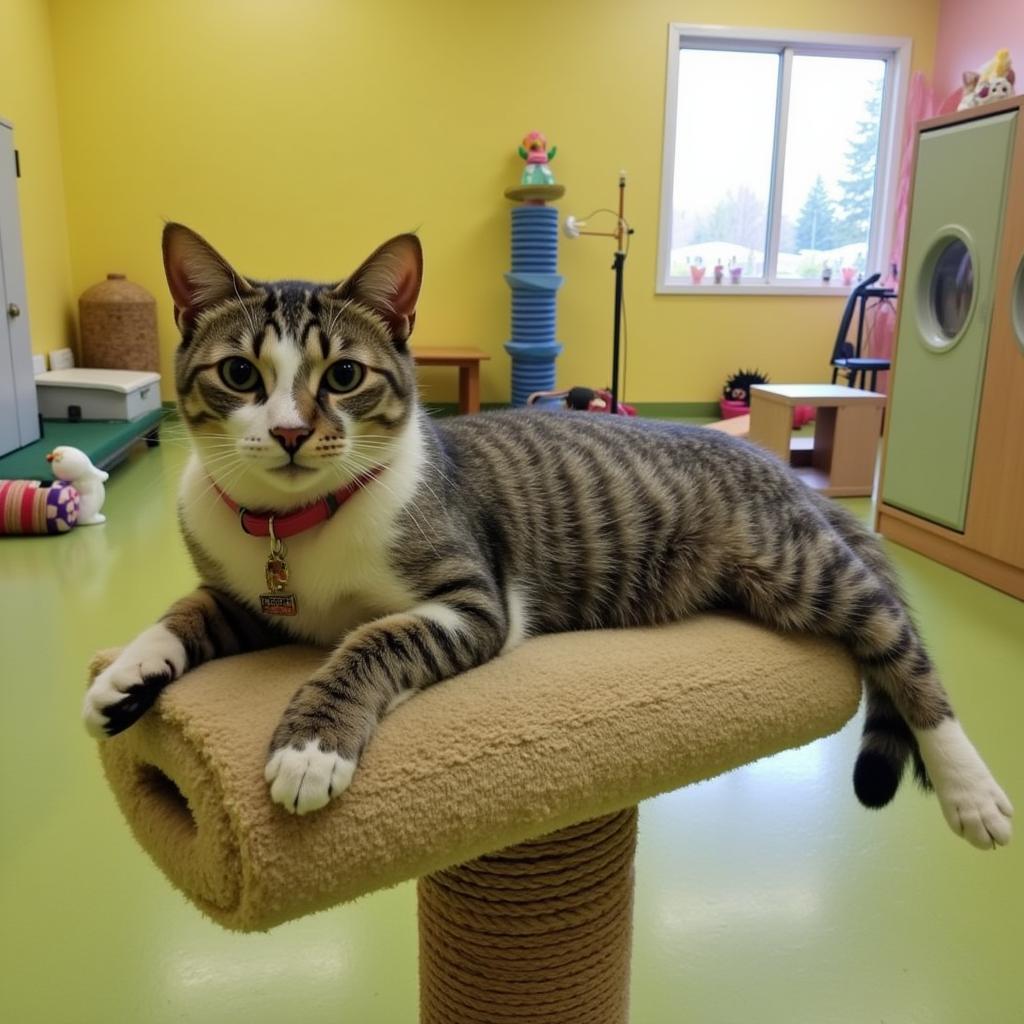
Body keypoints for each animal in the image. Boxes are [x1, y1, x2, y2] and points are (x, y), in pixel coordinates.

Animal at [83, 226, 1011, 847]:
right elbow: (188, 612)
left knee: (901, 647)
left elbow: (371, 643)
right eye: (240, 374)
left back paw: (970, 786)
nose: (286, 433)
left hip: (803, 569)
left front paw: (313, 744)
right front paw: (128, 670)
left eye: (343, 376)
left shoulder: (472, 602)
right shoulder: (248, 595)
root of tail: (773, 462)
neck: (299, 523)